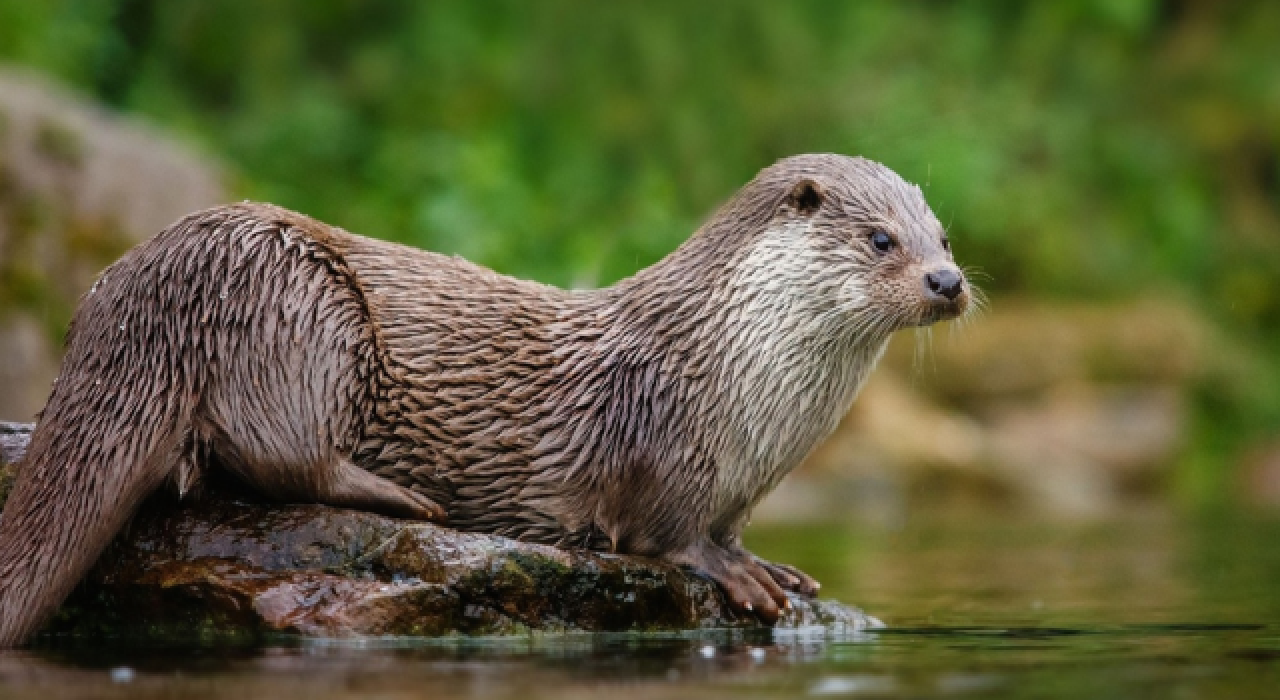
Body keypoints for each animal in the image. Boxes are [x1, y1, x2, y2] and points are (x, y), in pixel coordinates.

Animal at [0, 153, 962, 647]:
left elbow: (728, 529)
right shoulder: (661, 441)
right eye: (882, 239)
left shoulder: (739, 483)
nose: (947, 281)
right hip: (299, 307)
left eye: (943, 236)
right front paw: (740, 575)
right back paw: (404, 496)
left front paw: (775, 565)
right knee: (279, 454)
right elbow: (668, 535)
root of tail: (137, 284)